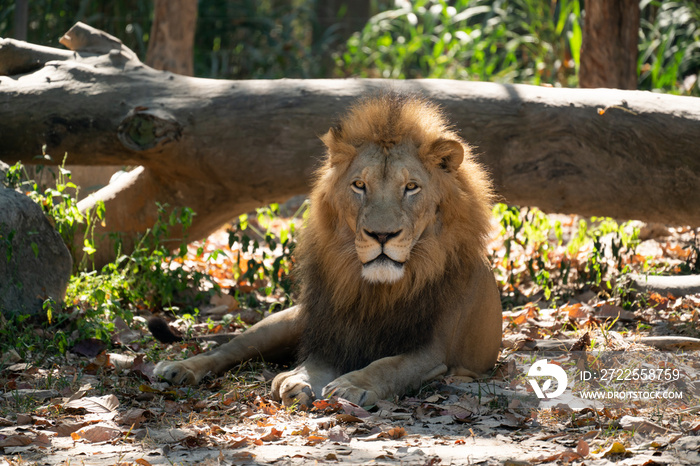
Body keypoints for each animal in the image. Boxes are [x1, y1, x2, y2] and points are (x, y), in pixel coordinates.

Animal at [155, 93, 500, 406]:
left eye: (411, 187)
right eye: (359, 185)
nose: (382, 235)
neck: (378, 289)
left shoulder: (433, 350)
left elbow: (388, 365)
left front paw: (351, 385)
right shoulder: (332, 335)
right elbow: (314, 364)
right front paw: (296, 379)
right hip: (286, 322)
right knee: (229, 349)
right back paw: (178, 367)